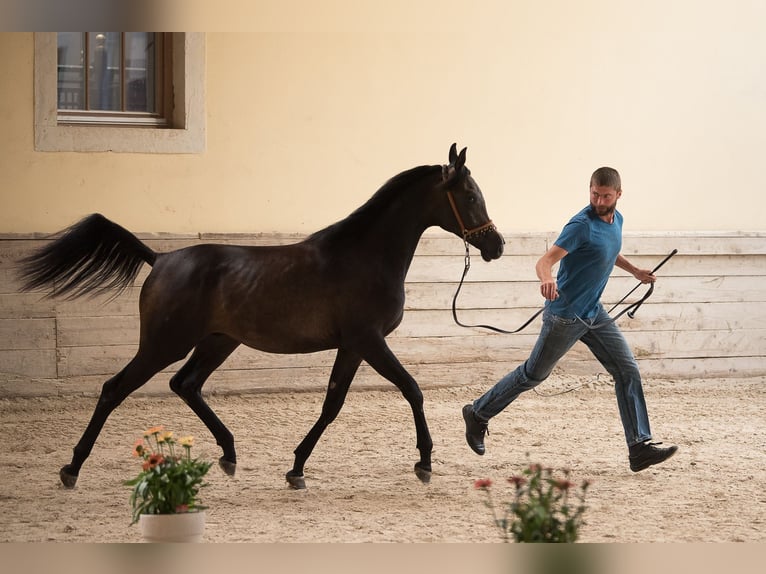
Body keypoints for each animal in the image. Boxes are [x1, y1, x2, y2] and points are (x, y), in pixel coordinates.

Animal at [16, 144, 504, 490]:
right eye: (469, 195)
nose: (495, 246)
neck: (364, 256)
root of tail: (161, 259)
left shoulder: (352, 346)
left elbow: (332, 405)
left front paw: (297, 468)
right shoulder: (368, 341)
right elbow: (412, 390)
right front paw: (424, 461)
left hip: (217, 341)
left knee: (185, 384)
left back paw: (229, 454)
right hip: (164, 343)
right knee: (115, 388)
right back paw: (72, 467)